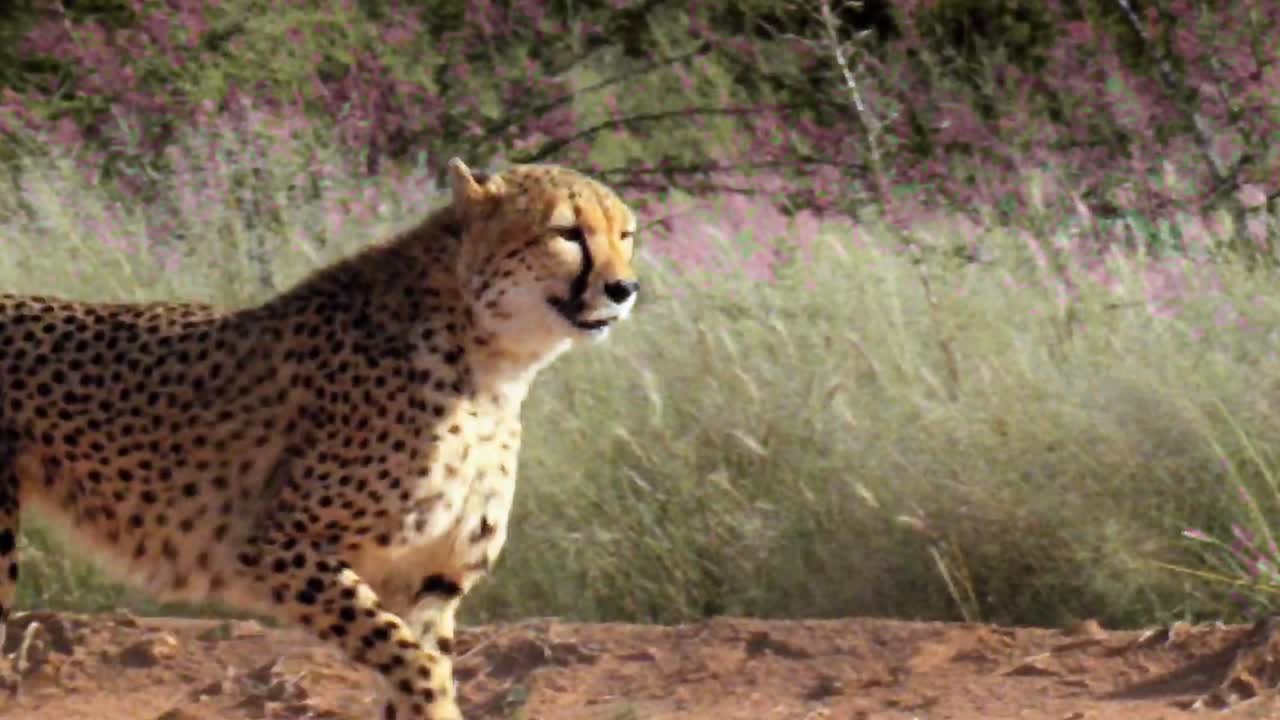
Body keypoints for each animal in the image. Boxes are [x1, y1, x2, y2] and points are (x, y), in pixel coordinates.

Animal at [0, 158, 640, 719]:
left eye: (626, 233)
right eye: (567, 232)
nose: (624, 287)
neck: (491, 364)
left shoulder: (430, 581)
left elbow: (414, 664)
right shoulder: (275, 545)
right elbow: (417, 665)